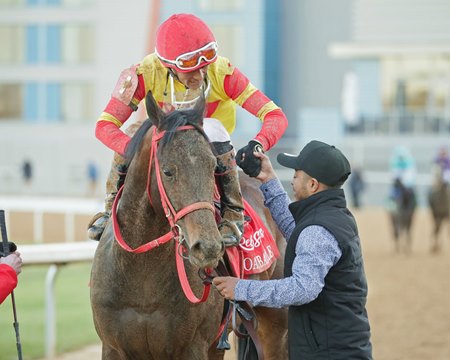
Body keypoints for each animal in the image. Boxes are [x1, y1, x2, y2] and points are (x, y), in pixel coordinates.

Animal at [91, 90, 288, 360]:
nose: (208, 247)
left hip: (272, 325)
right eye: (167, 171)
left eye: (214, 167)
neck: (143, 277)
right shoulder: (113, 347)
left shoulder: (193, 346)